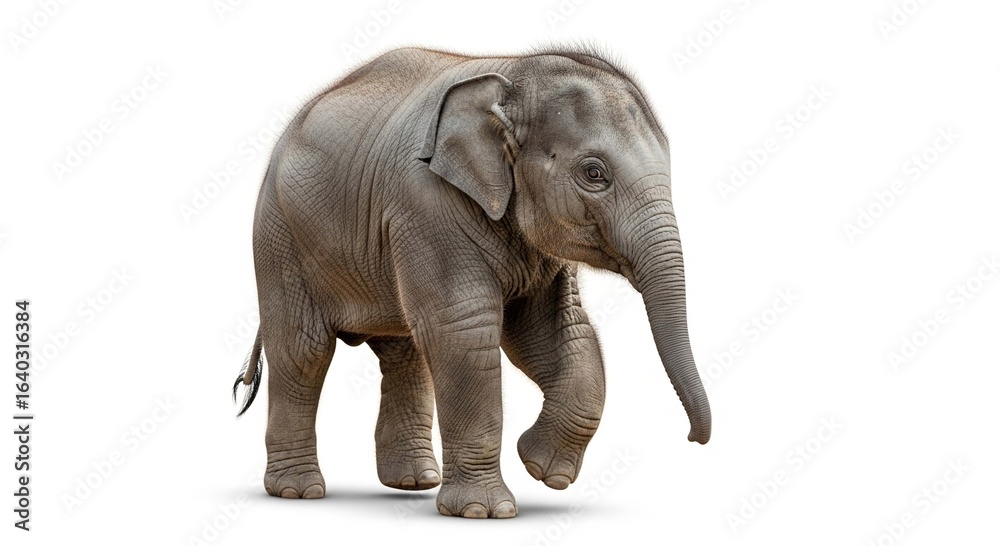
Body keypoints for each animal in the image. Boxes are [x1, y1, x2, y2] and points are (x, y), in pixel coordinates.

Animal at [232, 46, 711, 519]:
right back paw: (298, 492)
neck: (514, 72)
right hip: (280, 236)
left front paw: (542, 468)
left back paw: (413, 483)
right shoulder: (425, 203)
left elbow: (554, 331)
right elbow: (464, 329)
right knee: (303, 348)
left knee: (404, 349)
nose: (693, 438)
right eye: (594, 173)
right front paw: (485, 510)